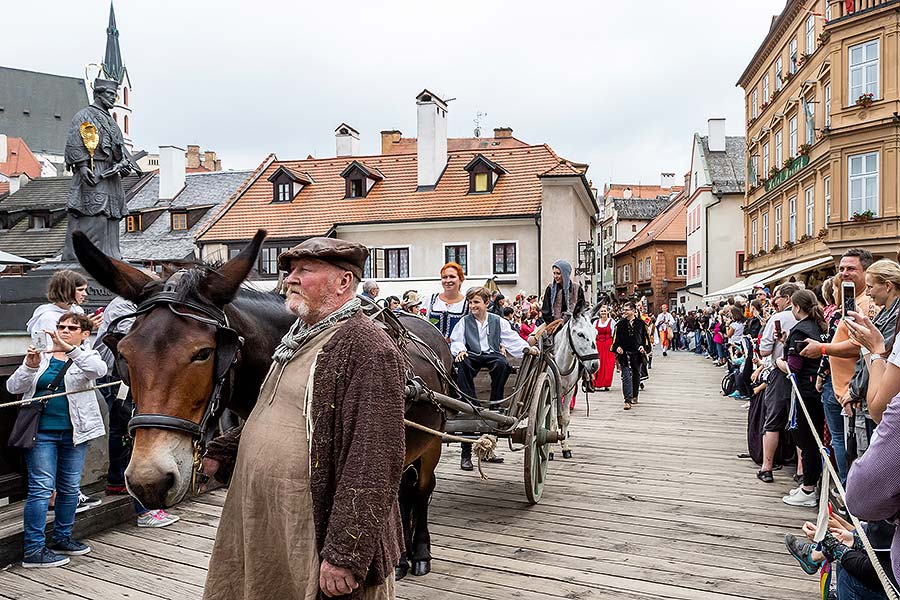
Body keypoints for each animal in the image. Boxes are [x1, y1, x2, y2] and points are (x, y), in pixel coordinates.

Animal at [548, 308, 596, 458]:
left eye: (596, 333)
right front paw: (550, 450)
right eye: (580, 334)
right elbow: (551, 419)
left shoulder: (569, 391)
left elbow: (565, 418)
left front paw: (565, 447)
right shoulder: (551, 391)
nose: (595, 364)